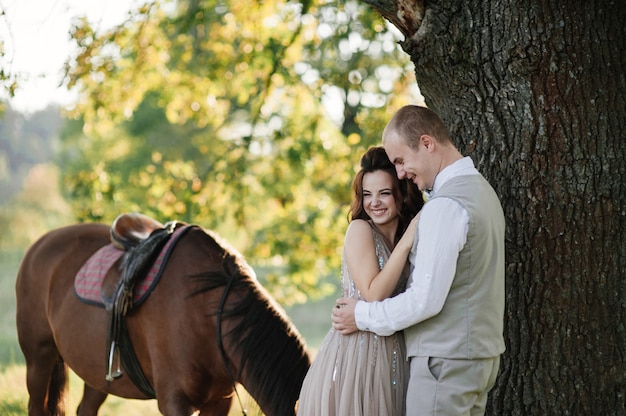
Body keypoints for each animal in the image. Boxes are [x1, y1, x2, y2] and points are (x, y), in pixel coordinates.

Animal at [12, 224, 310, 416]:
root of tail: (40, 244)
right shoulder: (174, 401)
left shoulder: (219, 401)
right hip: (39, 359)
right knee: (36, 406)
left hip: (96, 371)